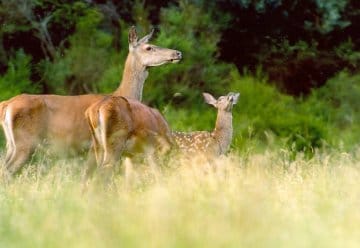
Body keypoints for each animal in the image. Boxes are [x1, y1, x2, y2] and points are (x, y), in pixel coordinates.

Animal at [0, 26, 180, 174]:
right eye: (149, 47)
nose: (177, 53)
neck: (123, 93)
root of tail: (7, 104)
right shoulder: (93, 147)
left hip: (11, 144)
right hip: (25, 142)